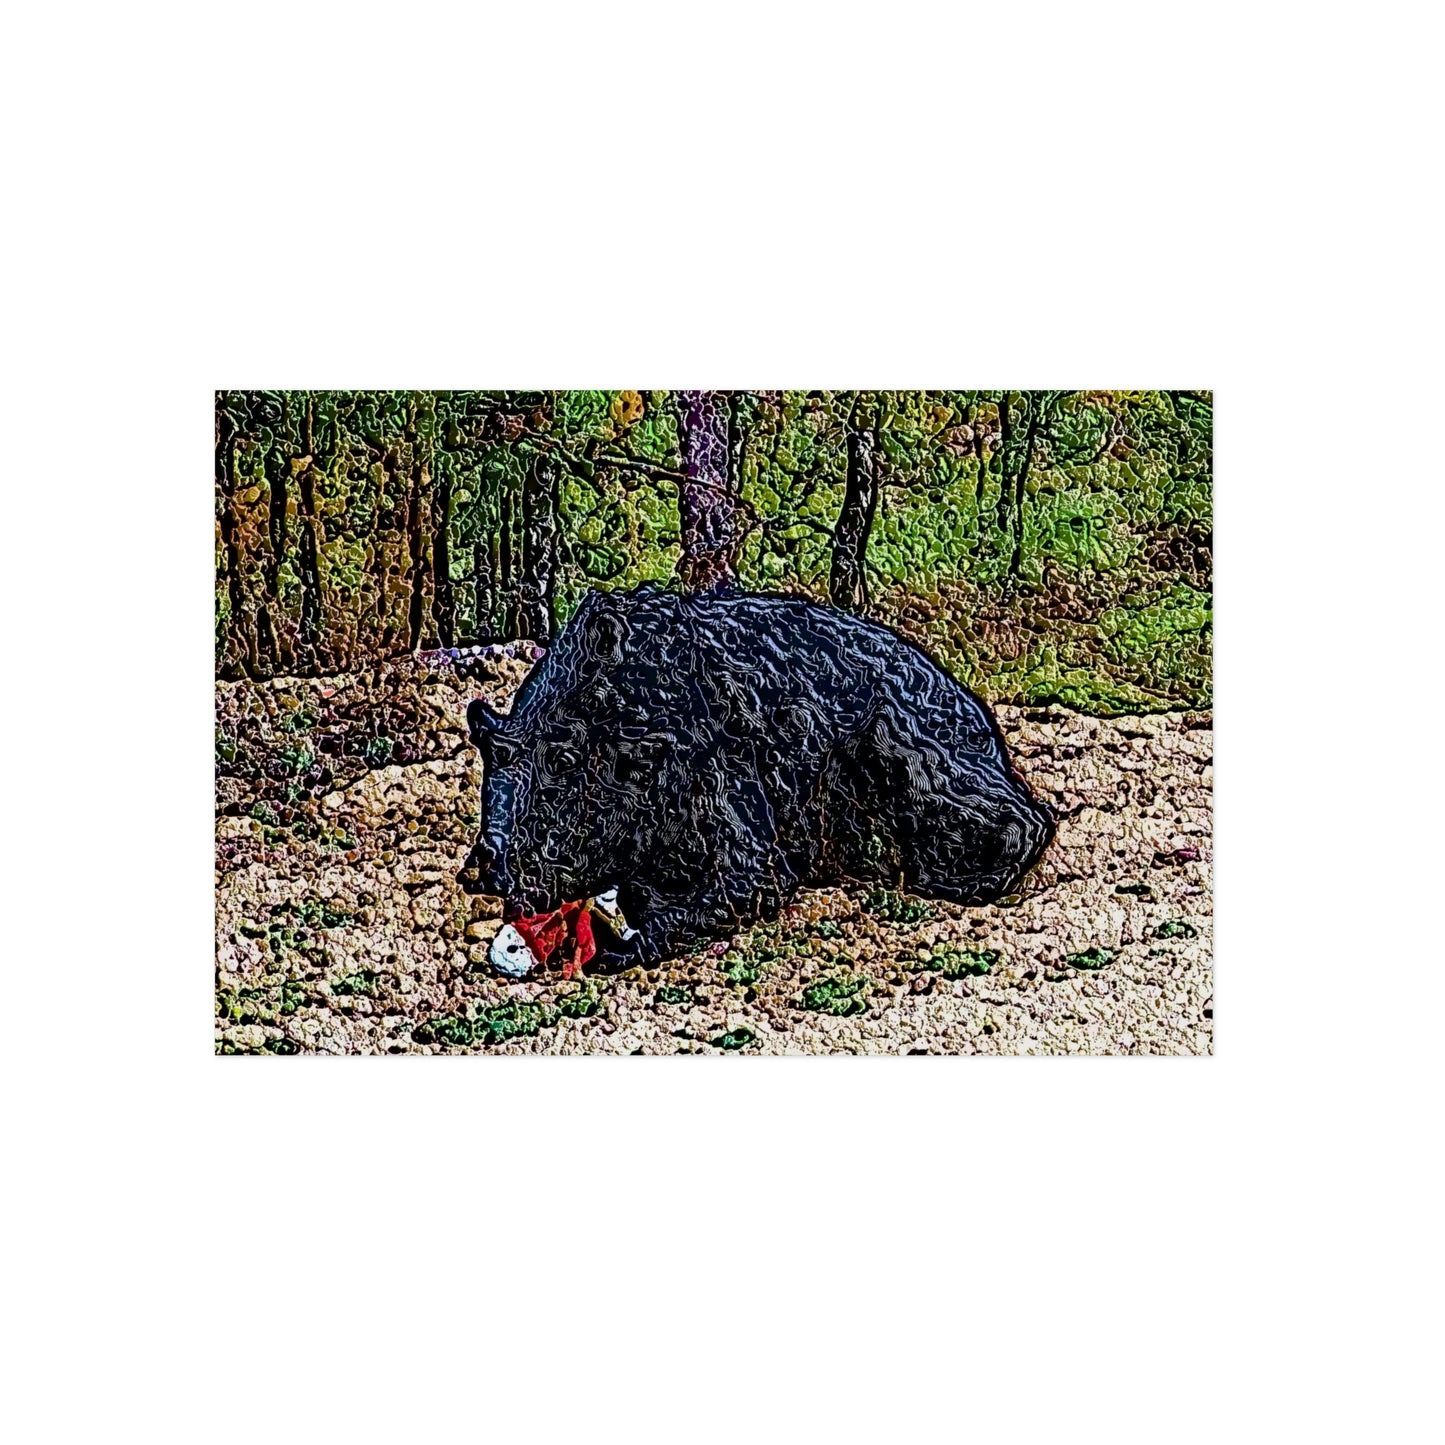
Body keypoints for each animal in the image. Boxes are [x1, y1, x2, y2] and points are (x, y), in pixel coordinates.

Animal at [457, 583, 1054, 967]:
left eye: (562, 760)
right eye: (490, 761)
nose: (486, 869)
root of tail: (987, 728)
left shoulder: (744, 831)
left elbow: (727, 889)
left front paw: (620, 946)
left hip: (908, 755)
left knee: (1025, 822)